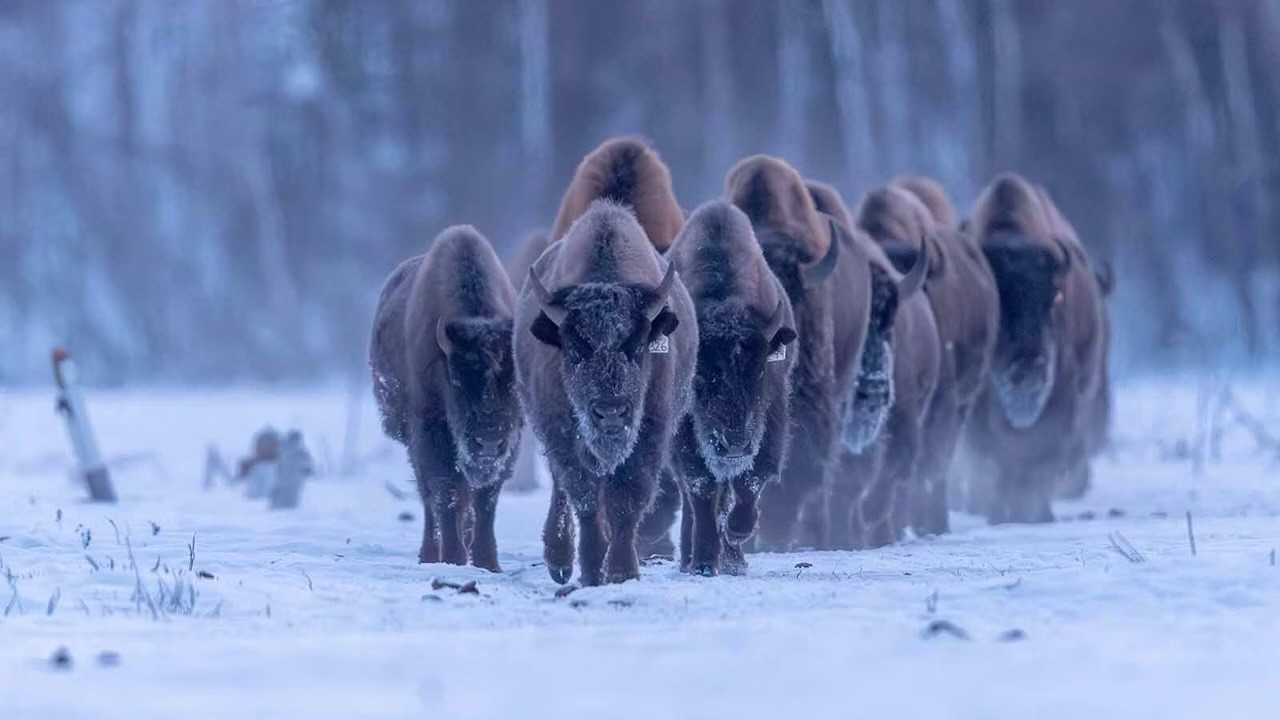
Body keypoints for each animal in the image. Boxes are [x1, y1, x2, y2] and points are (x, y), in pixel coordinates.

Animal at [369, 226, 523, 570]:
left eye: (514, 380)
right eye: (456, 379)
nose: (488, 442)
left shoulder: (510, 442)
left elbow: (485, 500)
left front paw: (487, 563)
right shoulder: (430, 430)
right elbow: (446, 493)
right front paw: (454, 558)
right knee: (430, 497)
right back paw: (430, 555)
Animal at [515, 201, 696, 585]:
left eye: (638, 345)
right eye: (574, 348)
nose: (610, 413)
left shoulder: (650, 431)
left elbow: (626, 497)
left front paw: (622, 571)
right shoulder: (562, 432)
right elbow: (583, 494)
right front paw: (592, 568)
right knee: (562, 487)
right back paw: (559, 561)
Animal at [665, 201, 798, 575]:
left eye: (761, 371)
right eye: (698, 378)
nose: (735, 444)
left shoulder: (772, 414)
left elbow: (753, 477)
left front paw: (738, 534)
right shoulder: (686, 433)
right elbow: (702, 489)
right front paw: (704, 562)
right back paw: (691, 558)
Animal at [965, 173, 1108, 524]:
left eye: (1053, 298)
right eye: (995, 303)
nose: (1028, 369)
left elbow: (1037, 459)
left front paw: (1033, 511)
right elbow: (997, 459)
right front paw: (1000, 513)